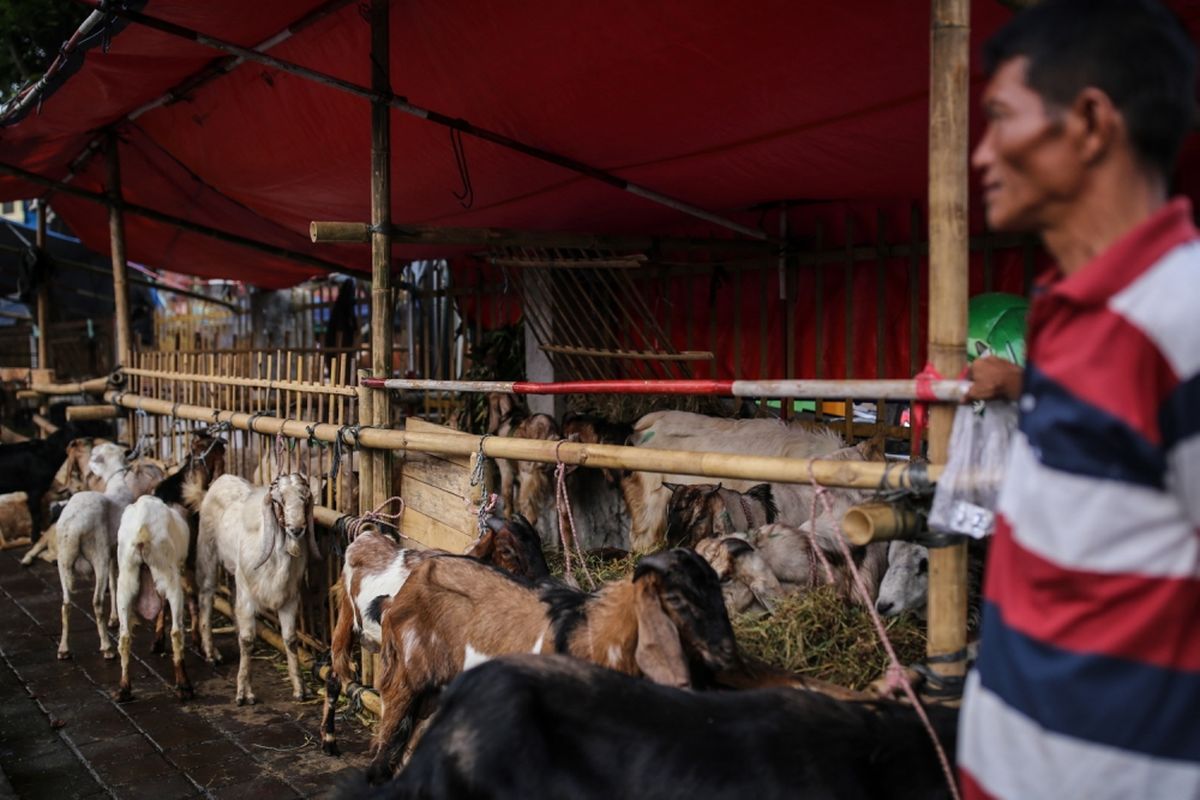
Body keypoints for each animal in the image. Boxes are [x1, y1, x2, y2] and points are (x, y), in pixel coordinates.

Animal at [116, 496, 194, 705]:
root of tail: (143, 531)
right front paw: (158, 641)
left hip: (125, 582)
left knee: (124, 637)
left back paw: (124, 689)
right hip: (169, 575)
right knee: (176, 631)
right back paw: (184, 686)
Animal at [192, 474, 316, 705]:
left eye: (305, 499)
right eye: (278, 500)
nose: (296, 529)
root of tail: (223, 478)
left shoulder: (290, 599)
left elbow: (290, 639)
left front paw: (300, 689)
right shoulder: (248, 597)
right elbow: (247, 639)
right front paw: (244, 693)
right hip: (208, 552)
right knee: (206, 596)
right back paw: (211, 653)